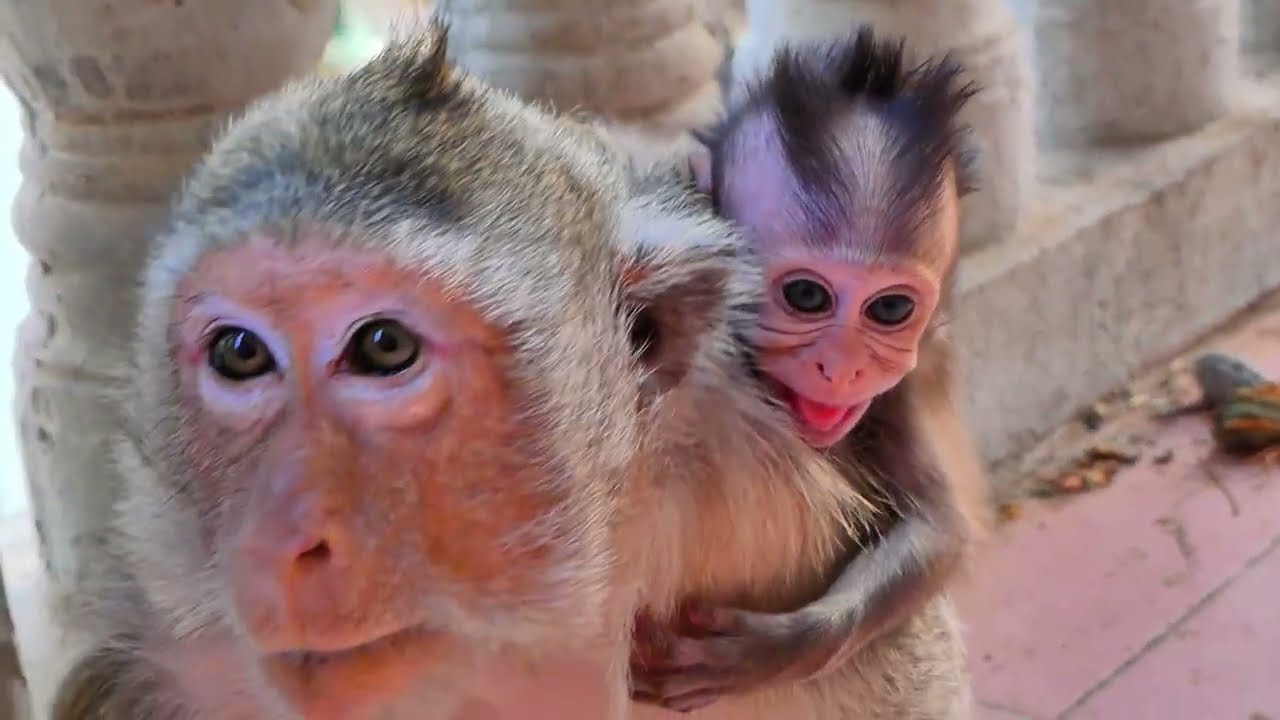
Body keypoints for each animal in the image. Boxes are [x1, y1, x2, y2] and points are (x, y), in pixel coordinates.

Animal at [618, 29, 992, 714]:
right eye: (807, 297)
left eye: (890, 309)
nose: (841, 367)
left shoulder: (907, 381)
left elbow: (941, 525)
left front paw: (775, 650)